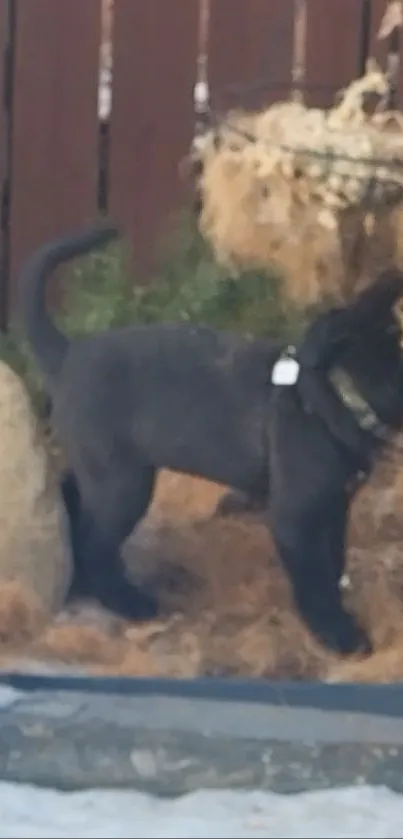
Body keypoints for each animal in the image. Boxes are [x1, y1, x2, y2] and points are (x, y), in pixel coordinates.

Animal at [20, 223, 403, 656]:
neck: (339, 393)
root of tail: (67, 354)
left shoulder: (335, 507)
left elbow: (333, 565)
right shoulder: (295, 518)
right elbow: (315, 580)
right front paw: (338, 633)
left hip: (105, 472)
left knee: (81, 513)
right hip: (124, 484)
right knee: (94, 544)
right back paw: (130, 603)